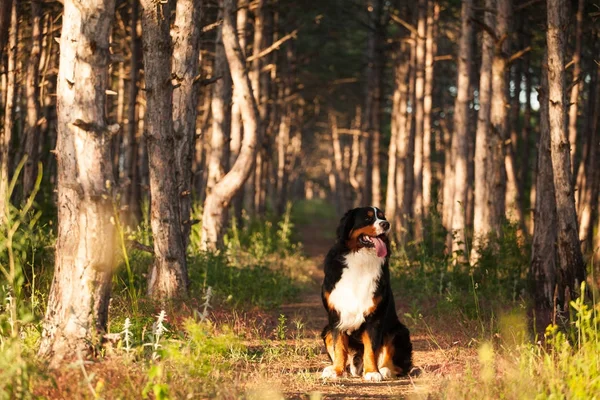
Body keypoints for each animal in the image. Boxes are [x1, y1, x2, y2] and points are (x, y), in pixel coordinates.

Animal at [318, 206, 412, 382]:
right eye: (368, 218)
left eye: (382, 217)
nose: (386, 224)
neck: (361, 258)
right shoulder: (336, 316)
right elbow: (339, 347)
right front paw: (337, 371)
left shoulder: (375, 317)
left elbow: (371, 348)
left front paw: (372, 372)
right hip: (326, 330)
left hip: (398, 331)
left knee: (397, 363)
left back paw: (384, 370)